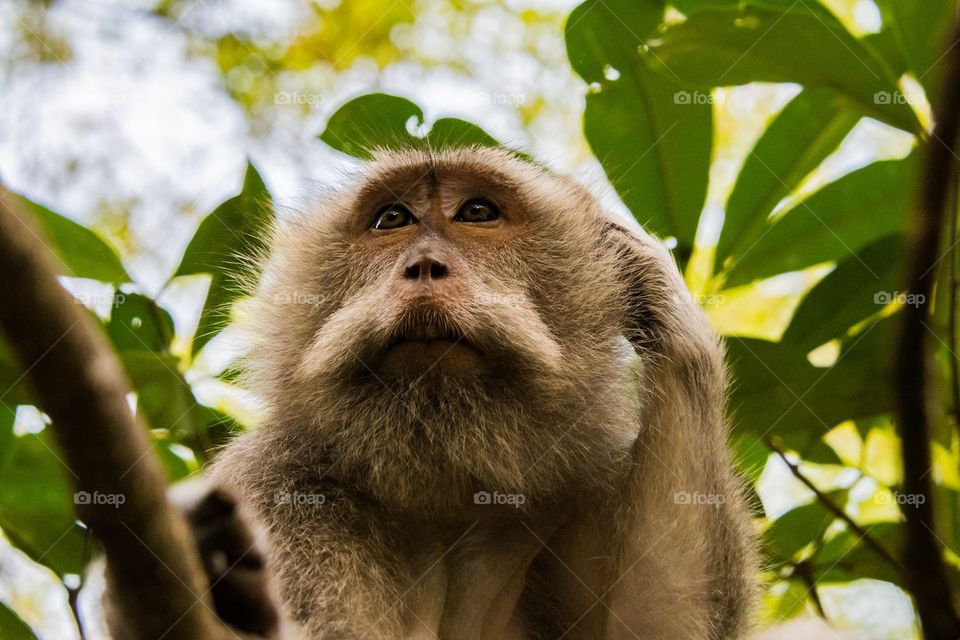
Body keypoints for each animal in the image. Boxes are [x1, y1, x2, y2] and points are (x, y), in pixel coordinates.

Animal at [103, 146, 757, 639]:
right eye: (392, 220)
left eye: (476, 211)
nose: (423, 267)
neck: (444, 493)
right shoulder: (272, 487)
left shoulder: (579, 490)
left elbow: (658, 623)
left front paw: (661, 292)